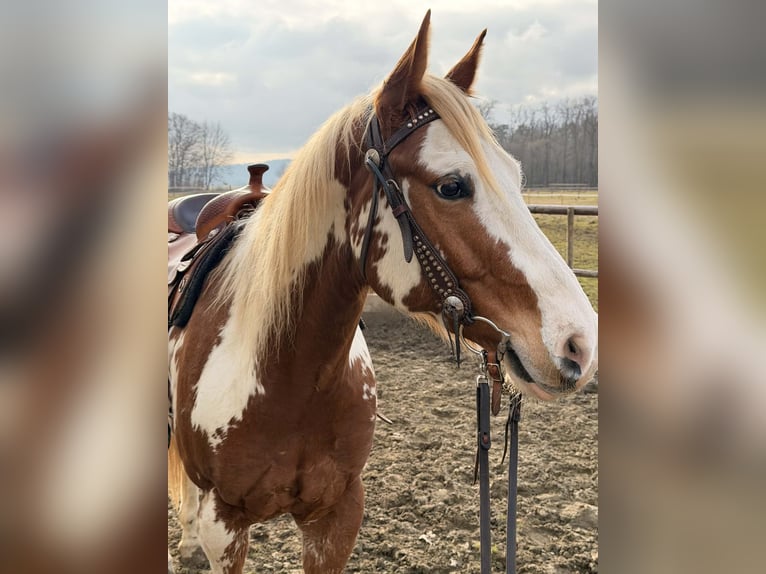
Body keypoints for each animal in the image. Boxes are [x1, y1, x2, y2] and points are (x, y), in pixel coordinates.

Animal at [168, 12, 598, 574]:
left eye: (515, 175)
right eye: (451, 186)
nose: (579, 344)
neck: (288, 374)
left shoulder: (338, 516)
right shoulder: (226, 525)